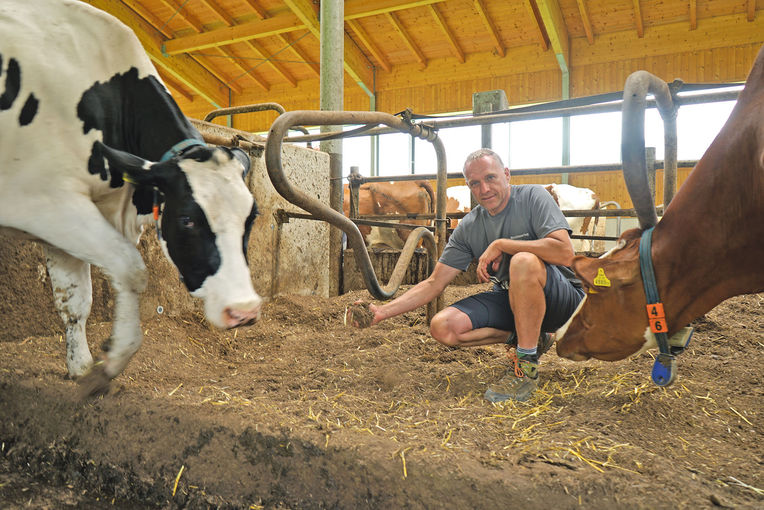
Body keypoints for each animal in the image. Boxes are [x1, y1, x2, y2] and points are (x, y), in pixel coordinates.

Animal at [0, 0, 262, 394]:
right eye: (187, 219)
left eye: (252, 217)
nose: (243, 310)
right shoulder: (46, 201)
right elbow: (131, 269)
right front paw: (111, 360)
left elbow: (75, 300)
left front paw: (81, 368)